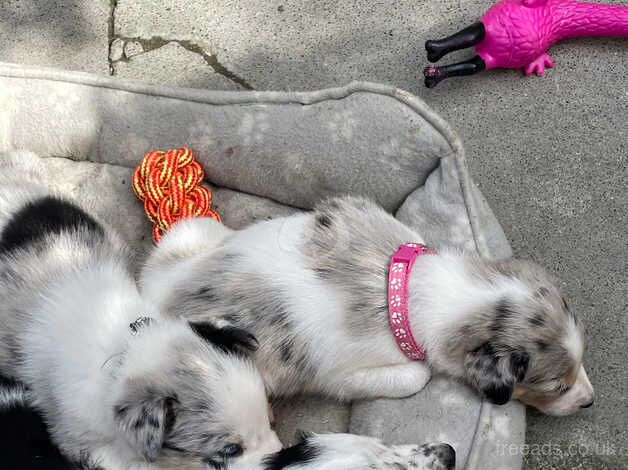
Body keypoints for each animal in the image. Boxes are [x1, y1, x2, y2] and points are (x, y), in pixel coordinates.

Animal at [141, 195, 592, 414]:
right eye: (556, 387)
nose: (589, 401)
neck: (408, 289)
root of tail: (149, 298)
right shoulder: (345, 375)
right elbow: (417, 374)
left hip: (190, 232)